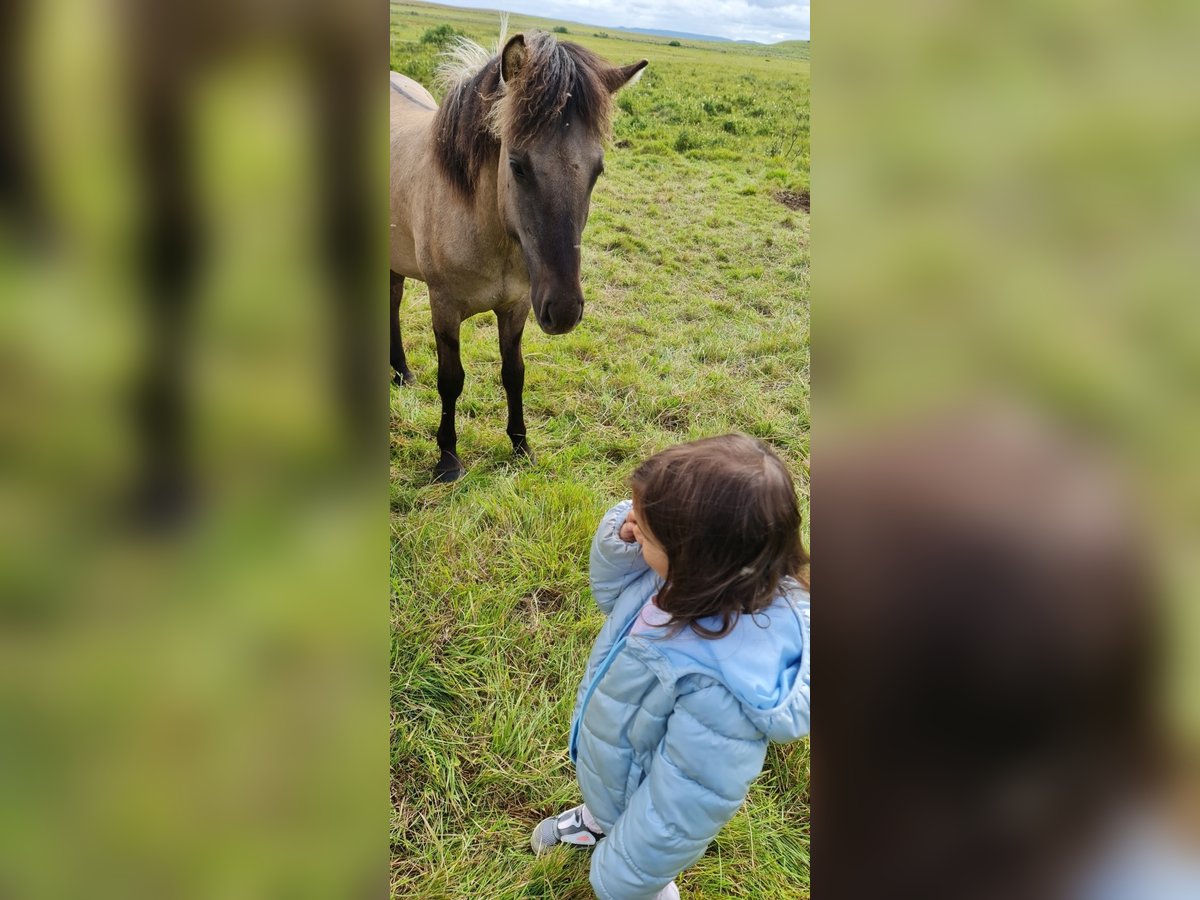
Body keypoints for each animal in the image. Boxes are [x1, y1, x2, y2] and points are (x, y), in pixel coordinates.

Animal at [391, 28, 648, 482]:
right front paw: (448, 458)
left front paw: (521, 446)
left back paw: (402, 372)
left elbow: (514, 373)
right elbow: (451, 379)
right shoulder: (444, 307)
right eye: (518, 165)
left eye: (597, 170)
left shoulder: (516, 306)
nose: (564, 311)